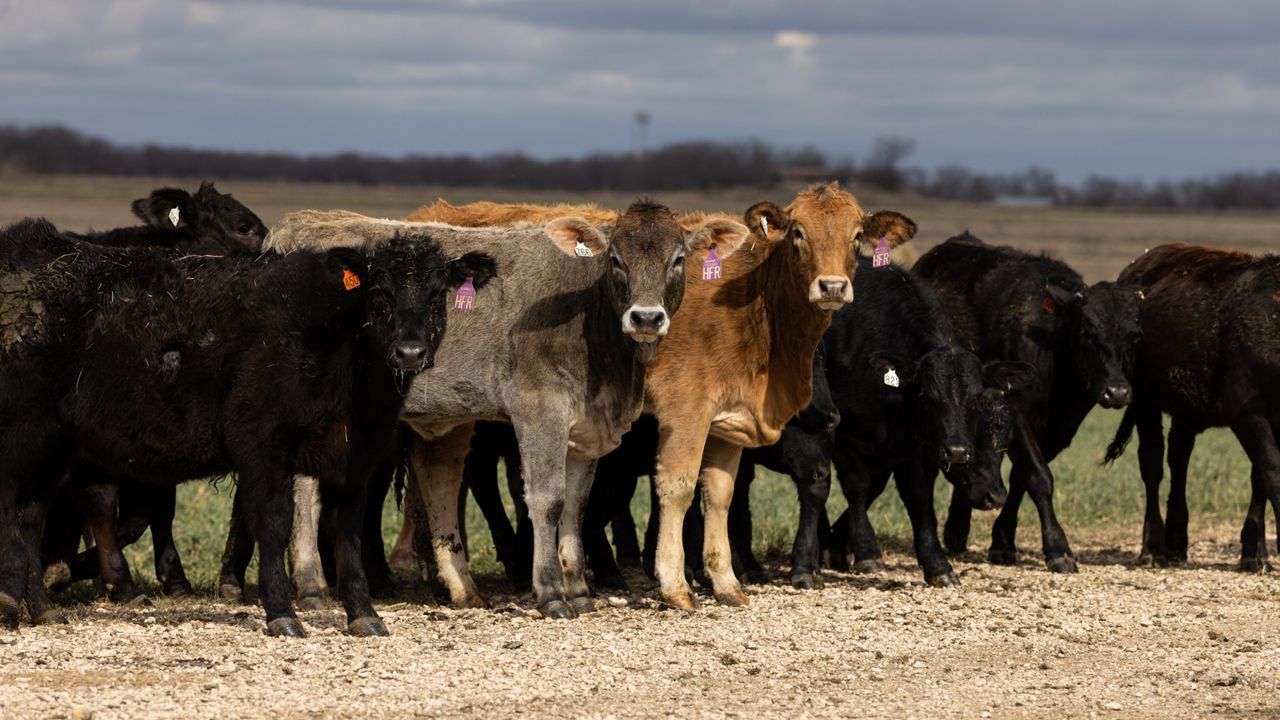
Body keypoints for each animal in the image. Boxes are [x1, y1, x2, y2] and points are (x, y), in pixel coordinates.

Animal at [0, 217, 492, 635]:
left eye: (436, 297)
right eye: (379, 296)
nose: (409, 352)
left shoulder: (354, 457)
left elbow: (348, 531)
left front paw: (364, 613)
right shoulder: (260, 444)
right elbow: (273, 524)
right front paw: (281, 613)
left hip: (54, 450)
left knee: (30, 518)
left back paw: (42, 609)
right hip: (23, 437)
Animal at [263, 204, 750, 618]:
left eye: (678, 259)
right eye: (615, 260)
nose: (646, 318)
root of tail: (300, 224)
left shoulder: (586, 429)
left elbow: (576, 505)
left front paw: (579, 591)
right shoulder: (540, 411)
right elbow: (548, 501)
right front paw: (551, 593)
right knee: (305, 492)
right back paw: (311, 589)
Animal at [913, 233, 1141, 571]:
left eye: (1134, 335)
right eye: (1088, 332)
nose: (1117, 392)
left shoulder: (1059, 429)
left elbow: (1021, 477)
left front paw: (1002, 542)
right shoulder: (1016, 414)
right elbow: (1039, 476)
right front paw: (1058, 548)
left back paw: (957, 529)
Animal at [1104, 244, 1280, 569]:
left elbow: (1259, 477)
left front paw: (1255, 553)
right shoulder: (1246, 413)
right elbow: (1272, 472)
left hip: (1185, 409)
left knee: (1179, 457)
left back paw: (1176, 541)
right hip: (1143, 399)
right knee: (1153, 465)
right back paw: (1153, 548)